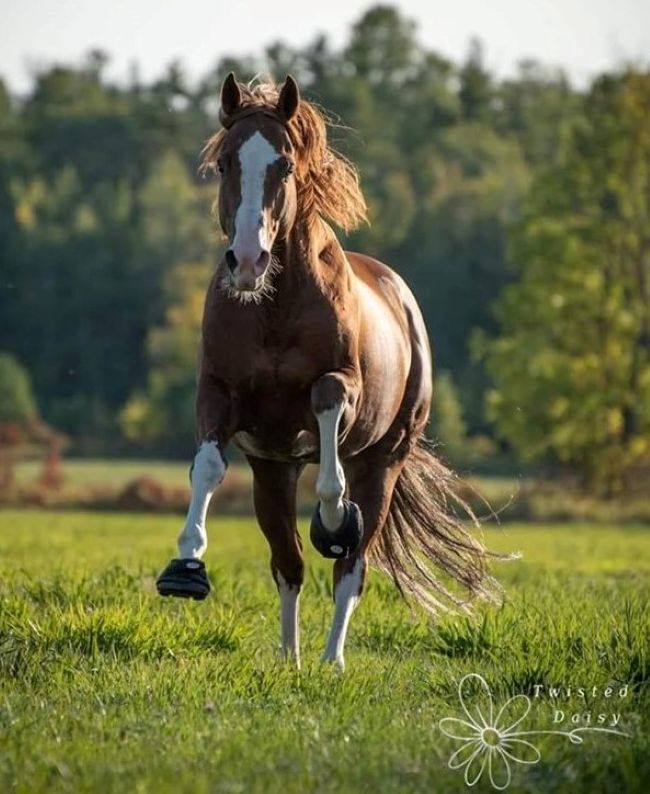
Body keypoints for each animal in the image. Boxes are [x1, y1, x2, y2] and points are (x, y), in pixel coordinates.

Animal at [155, 73, 500, 670]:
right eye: (224, 163)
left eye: (285, 165)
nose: (248, 262)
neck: (273, 308)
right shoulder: (220, 398)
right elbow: (207, 469)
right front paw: (186, 566)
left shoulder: (343, 390)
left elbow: (328, 448)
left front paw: (336, 521)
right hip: (272, 473)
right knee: (288, 563)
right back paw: (289, 659)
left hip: (384, 460)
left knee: (351, 566)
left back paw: (331, 658)